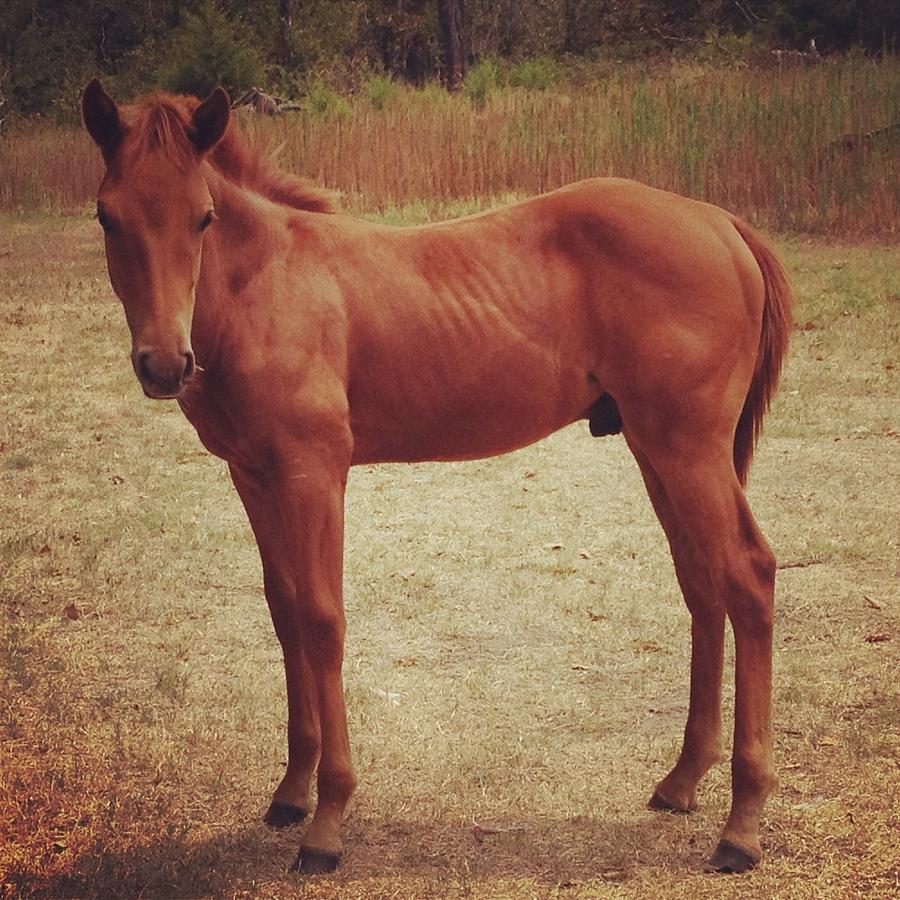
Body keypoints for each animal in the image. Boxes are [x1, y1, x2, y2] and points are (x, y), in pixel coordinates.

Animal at [81, 81, 792, 876]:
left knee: (747, 575)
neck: (268, 284)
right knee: (702, 583)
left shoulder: (312, 473)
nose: (164, 364)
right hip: (657, 450)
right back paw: (681, 781)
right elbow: (285, 611)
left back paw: (741, 827)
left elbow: (323, 621)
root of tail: (719, 222)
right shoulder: (253, 476)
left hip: (689, 450)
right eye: (107, 216)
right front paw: (291, 793)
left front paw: (327, 822)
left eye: (203, 216)